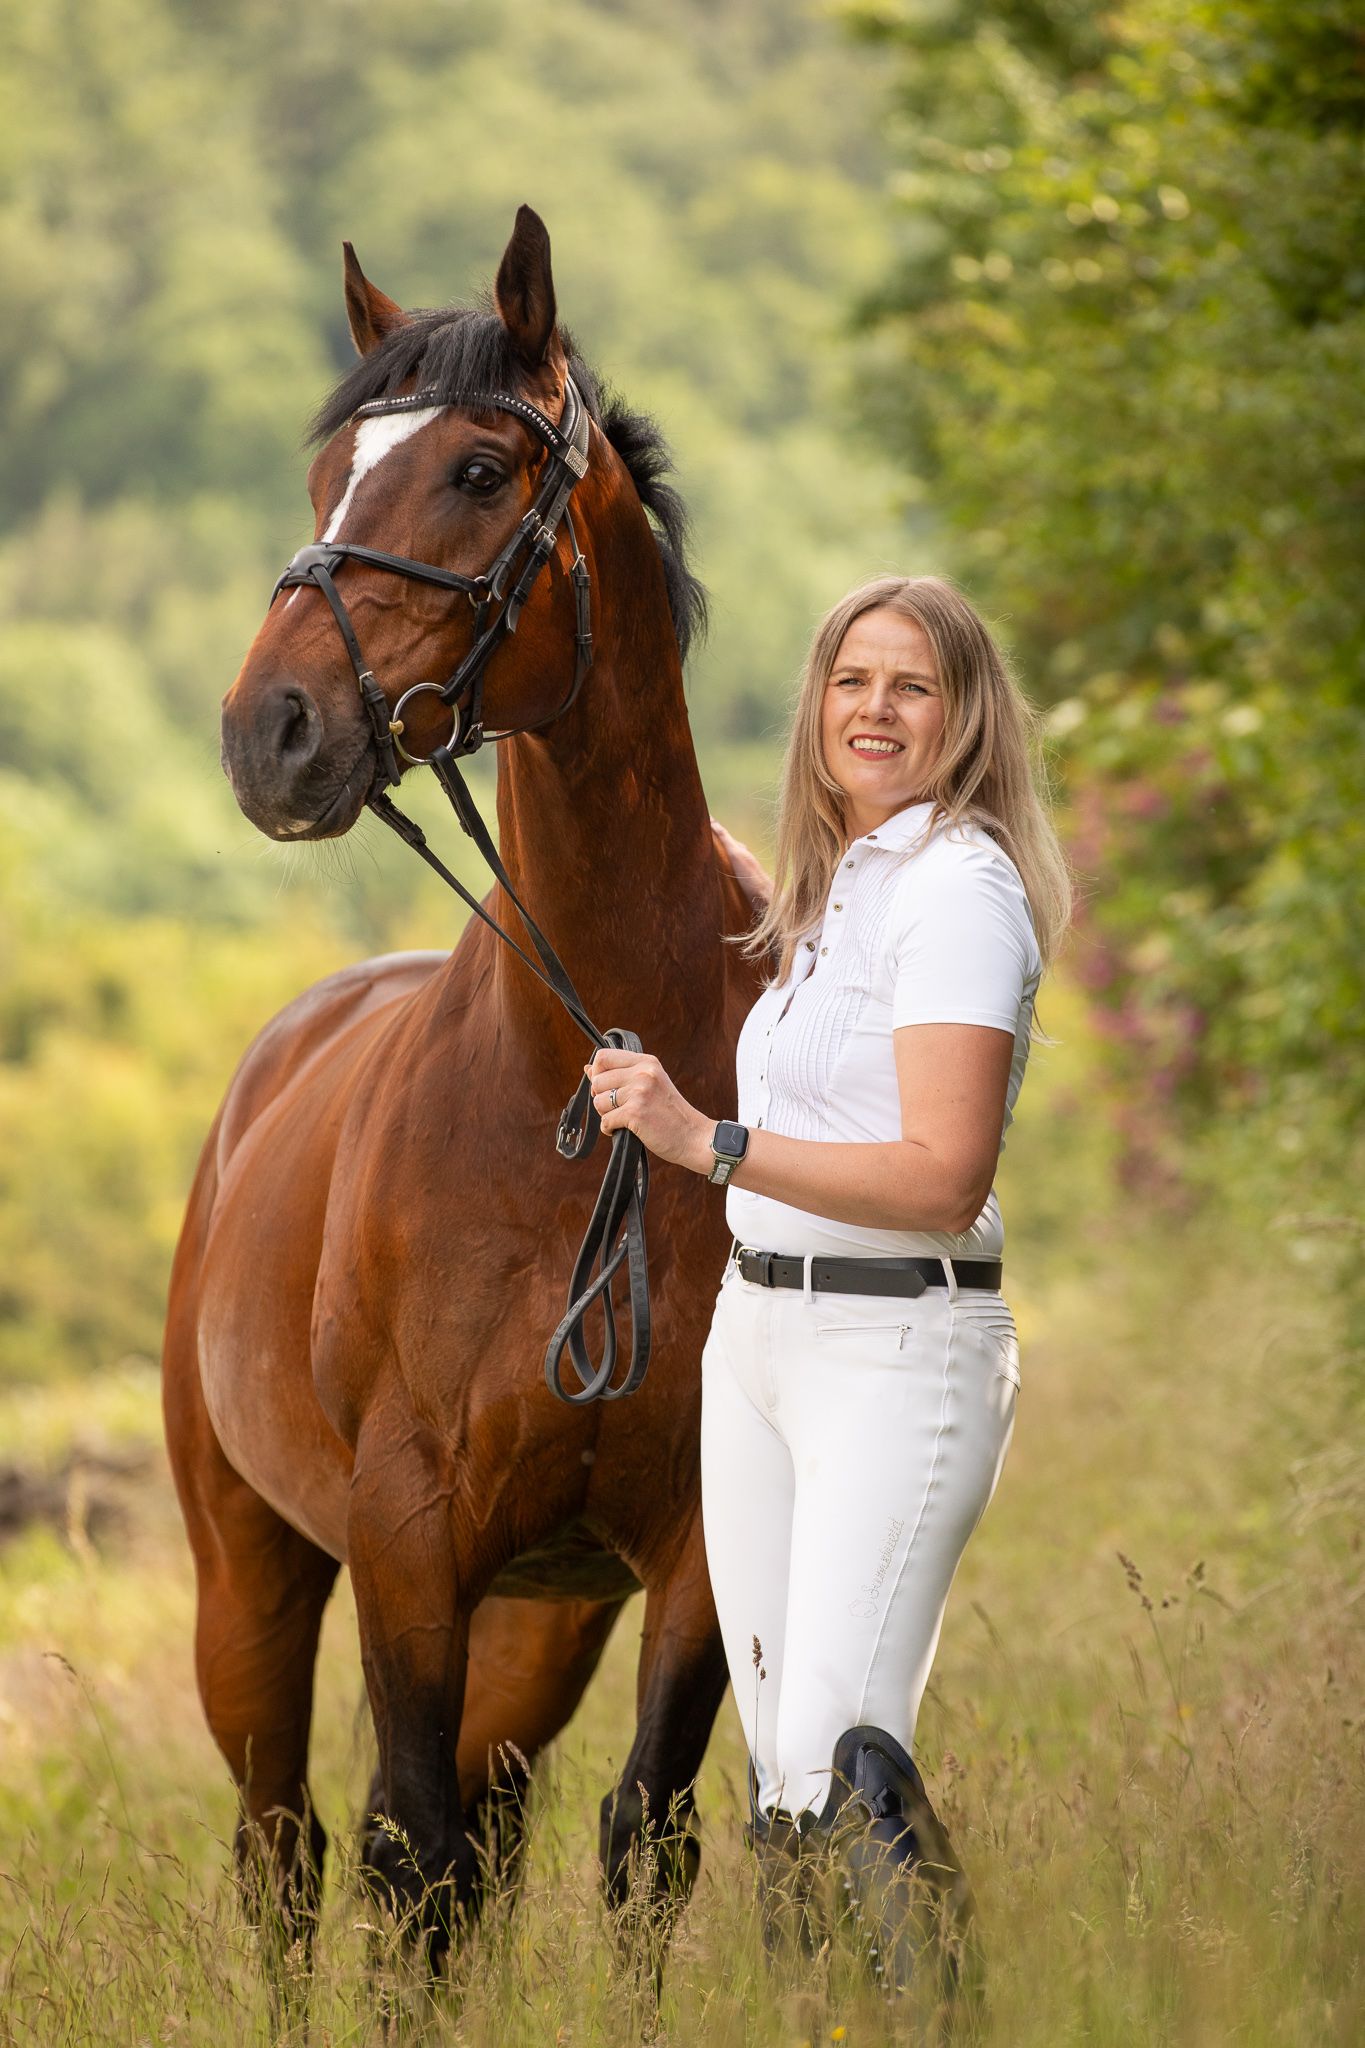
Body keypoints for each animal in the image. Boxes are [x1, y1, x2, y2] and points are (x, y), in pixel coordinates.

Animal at [162, 204, 768, 1964]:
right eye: (326, 476)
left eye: (481, 471)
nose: (272, 733)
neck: (587, 1078)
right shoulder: (406, 1538)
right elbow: (406, 1853)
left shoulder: (691, 1550)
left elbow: (640, 1846)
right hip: (250, 1582)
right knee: (295, 1857)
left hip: (534, 1625)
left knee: (468, 1853)